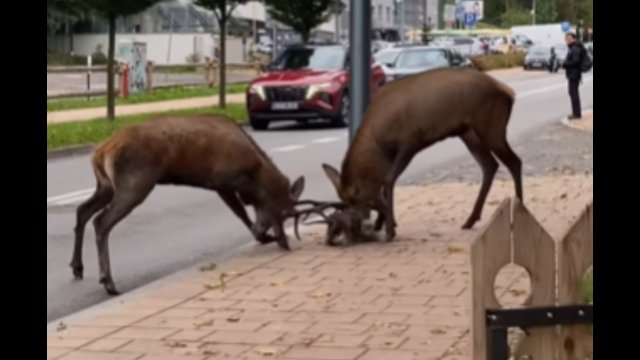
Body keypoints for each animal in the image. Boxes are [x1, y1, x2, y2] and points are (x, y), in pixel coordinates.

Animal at [308, 68, 524, 245]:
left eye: (358, 200)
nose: (358, 228)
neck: (379, 142)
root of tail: (509, 93)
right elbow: (385, 182)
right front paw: (383, 224)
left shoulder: (410, 142)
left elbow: (388, 180)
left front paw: (389, 229)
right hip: (469, 133)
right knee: (490, 165)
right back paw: (470, 219)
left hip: (492, 127)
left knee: (514, 161)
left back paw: (520, 209)